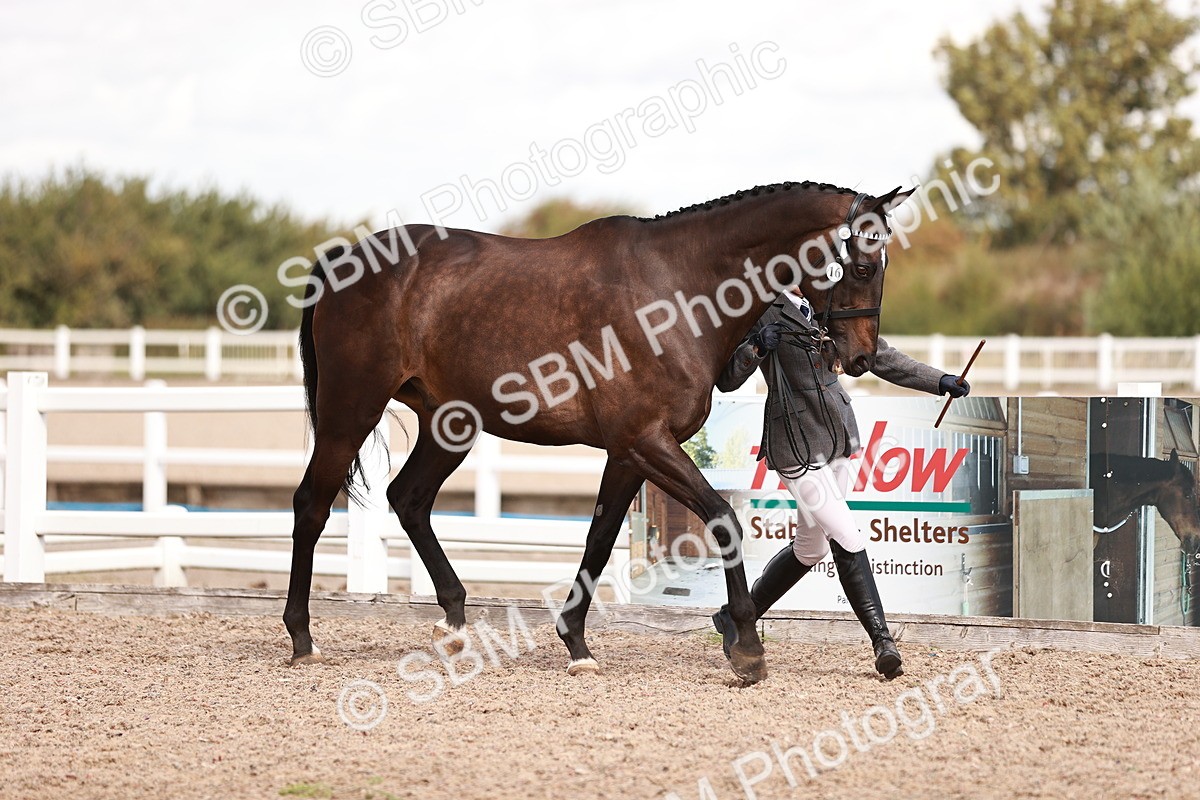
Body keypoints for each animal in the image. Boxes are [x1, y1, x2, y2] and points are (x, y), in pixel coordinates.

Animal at [284, 181, 912, 683]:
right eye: (861, 265)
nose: (859, 357)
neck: (677, 288)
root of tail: (342, 261)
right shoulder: (646, 441)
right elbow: (722, 521)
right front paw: (748, 652)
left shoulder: (629, 452)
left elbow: (601, 538)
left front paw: (577, 643)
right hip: (350, 411)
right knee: (313, 504)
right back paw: (302, 637)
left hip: (450, 424)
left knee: (409, 499)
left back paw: (455, 624)